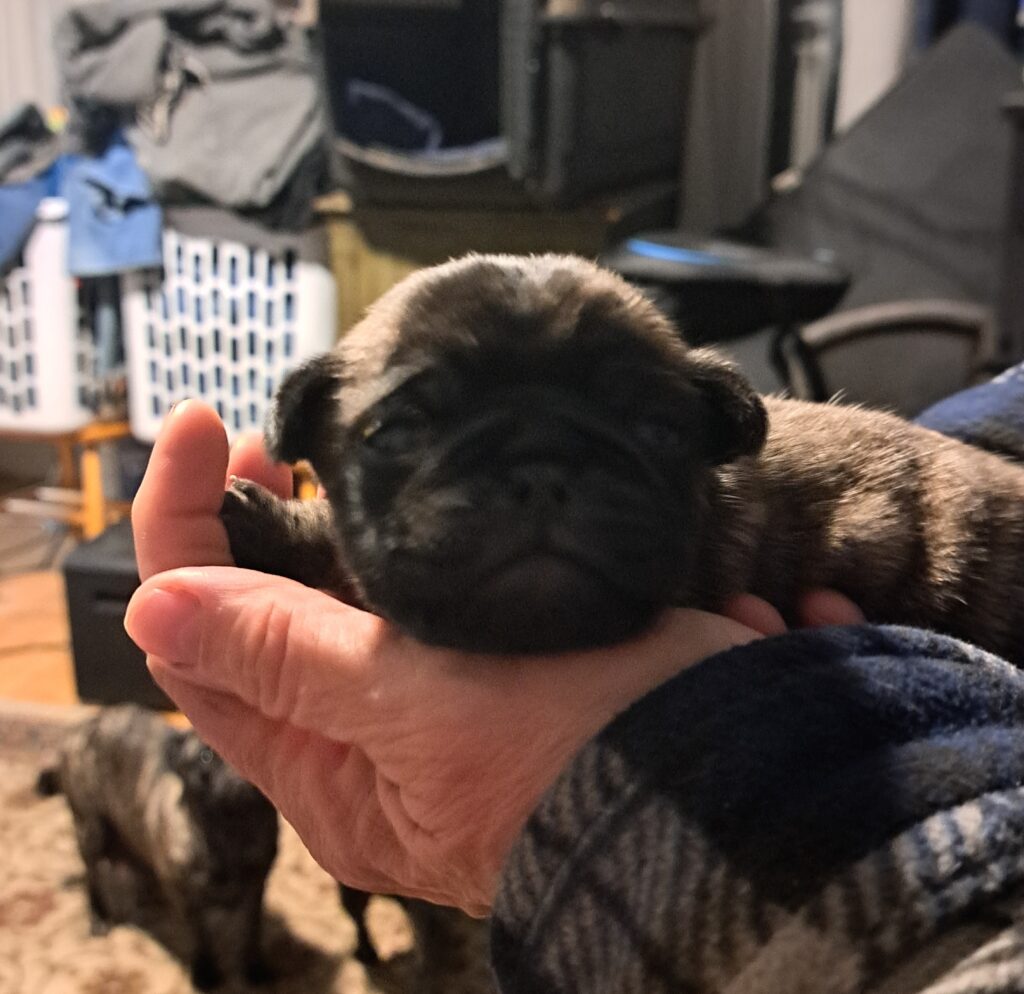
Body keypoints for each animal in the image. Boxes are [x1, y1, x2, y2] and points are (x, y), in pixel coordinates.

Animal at [38, 705, 279, 991]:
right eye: (205, 757)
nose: (240, 763)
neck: (232, 832)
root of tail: (82, 728)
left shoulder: (256, 889)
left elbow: (251, 933)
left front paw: (255, 968)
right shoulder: (185, 899)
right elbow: (200, 939)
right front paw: (205, 974)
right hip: (91, 833)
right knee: (92, 879)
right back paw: (100, 918)